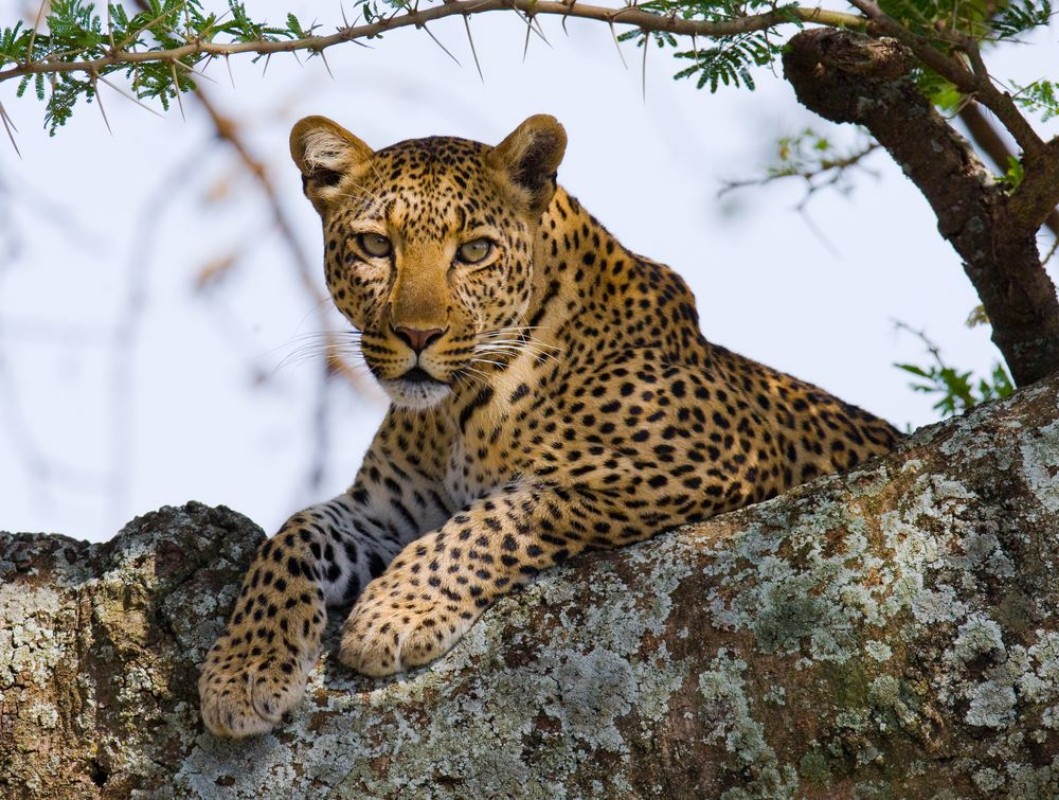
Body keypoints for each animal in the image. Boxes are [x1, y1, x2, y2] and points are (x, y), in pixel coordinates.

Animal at [199, 114, 902, 738]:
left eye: (474, 251)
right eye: (375, 245)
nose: (418, 336)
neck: (455, 413)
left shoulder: (704, 460)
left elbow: (499, 515)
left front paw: (393, 613)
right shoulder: (387, 512)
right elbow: (293, 535)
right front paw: (244, 670)